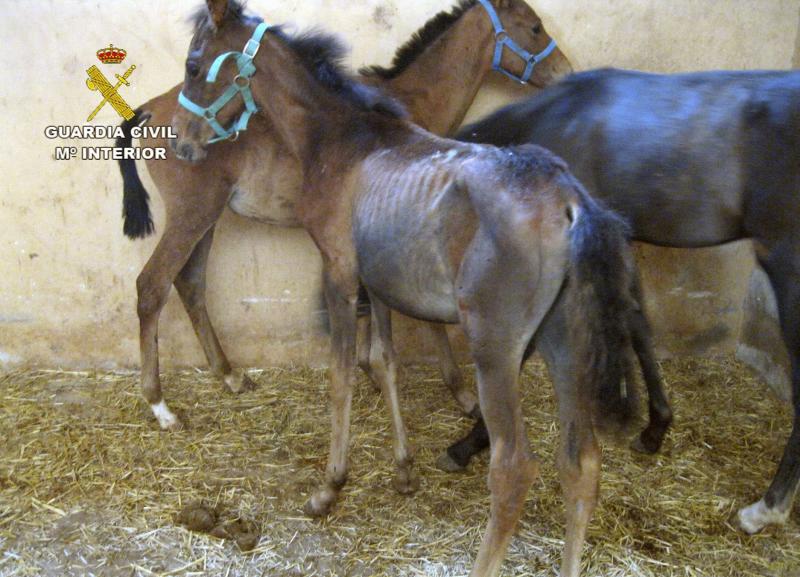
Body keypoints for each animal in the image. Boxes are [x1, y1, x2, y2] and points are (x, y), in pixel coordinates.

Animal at [170, 2, 644, 572]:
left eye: (194, 64)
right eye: (534, 27)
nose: (182, 141)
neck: (343, 139)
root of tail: (571, 203)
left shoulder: (340, 273)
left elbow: (342, 375)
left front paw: (329, 488)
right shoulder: (379, 284)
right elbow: (386, 363)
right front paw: (403, 470)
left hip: (496, 348)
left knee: (513, 469)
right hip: (566, 343)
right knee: (582, 463)